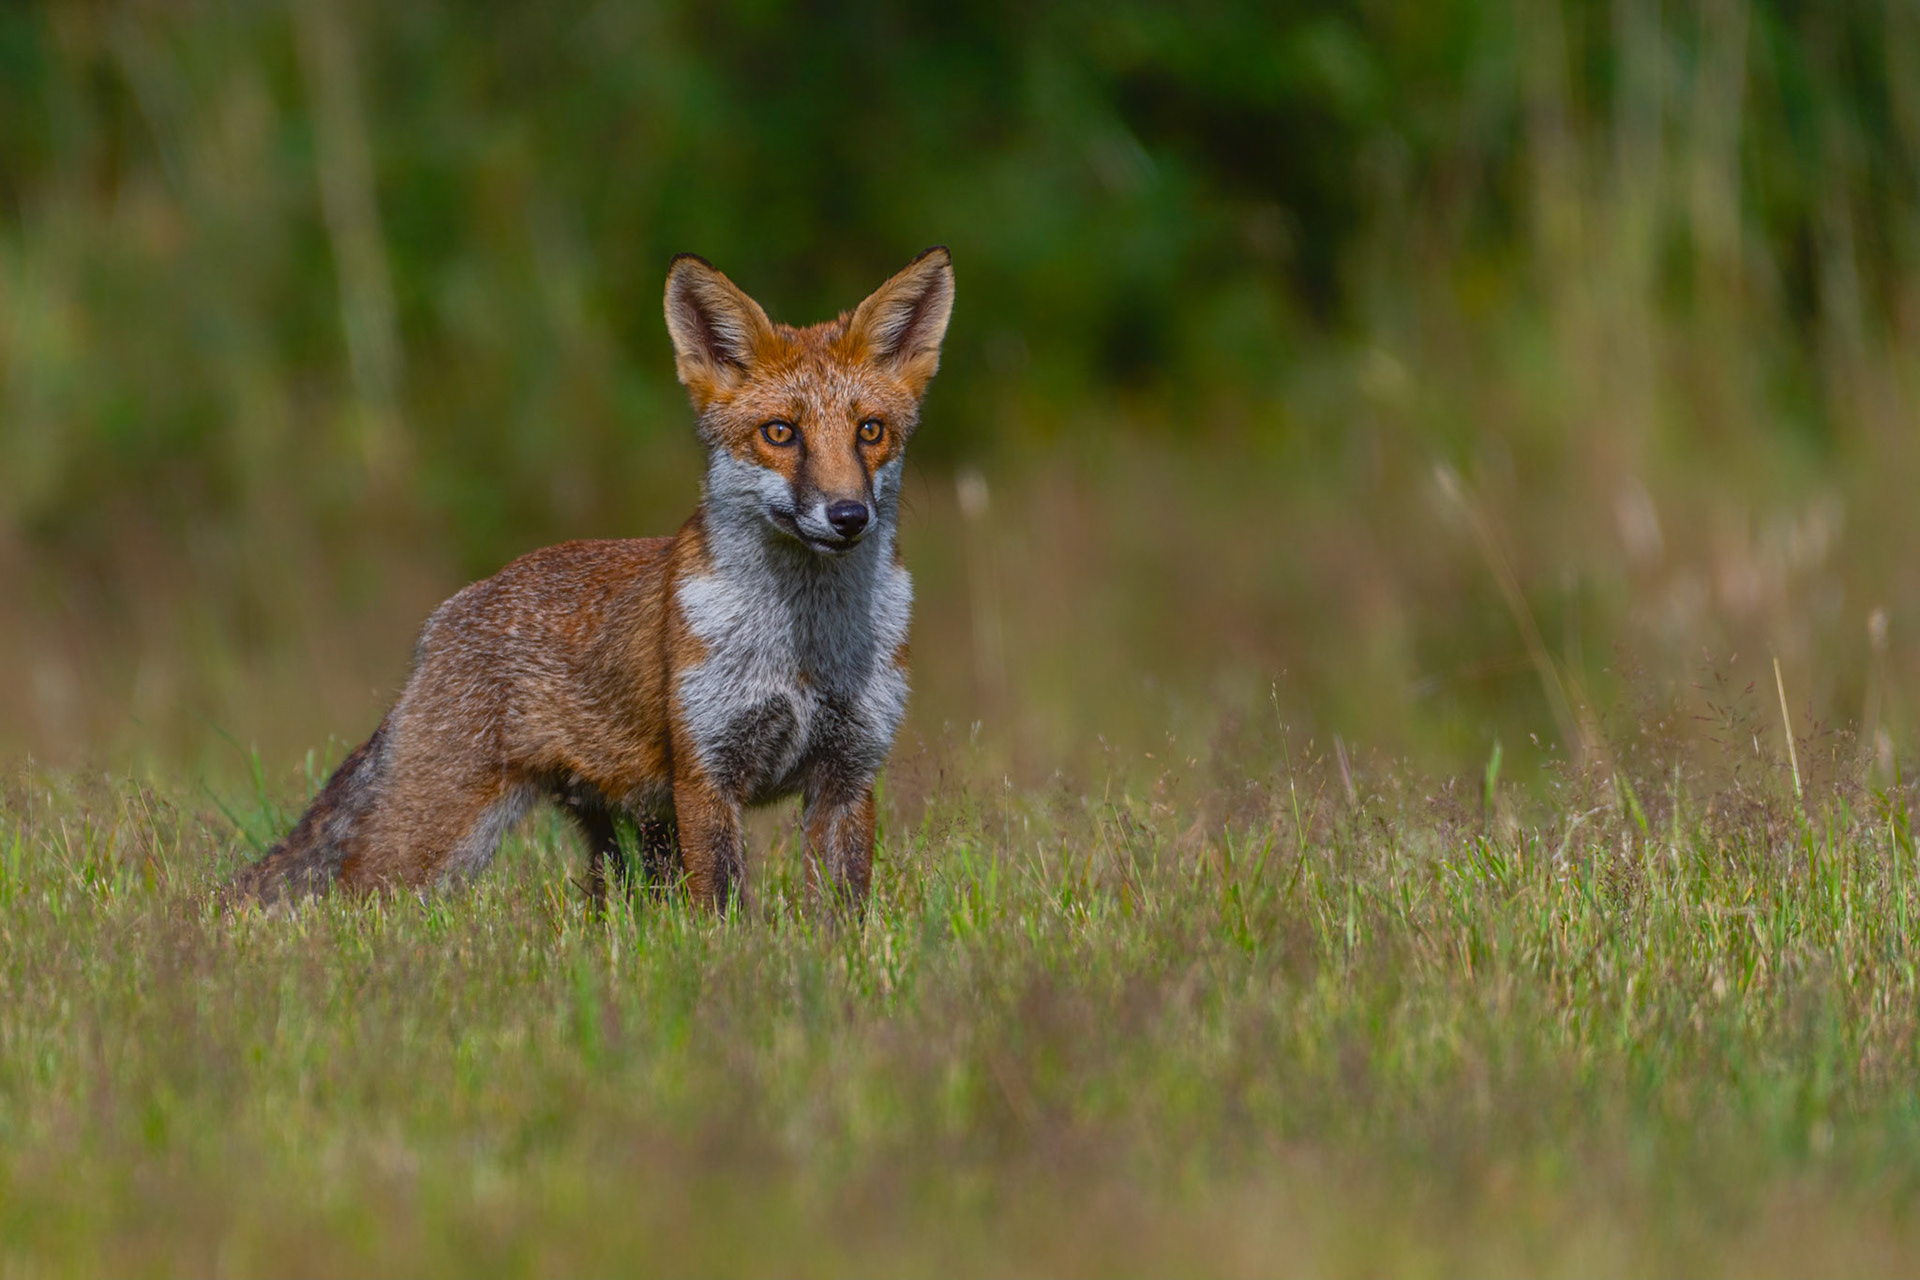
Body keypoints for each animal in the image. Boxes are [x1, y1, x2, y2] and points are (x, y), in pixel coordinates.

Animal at [222, 247, 955, 914]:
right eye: (780, 433)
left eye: (870, 432)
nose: (848, 515)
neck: (803, 650)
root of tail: (447, 616)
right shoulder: (707, 773)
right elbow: (722, 906)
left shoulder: (848, 775)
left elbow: (843, 916)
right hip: (435, 840)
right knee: (354, 898)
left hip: (629, 835)